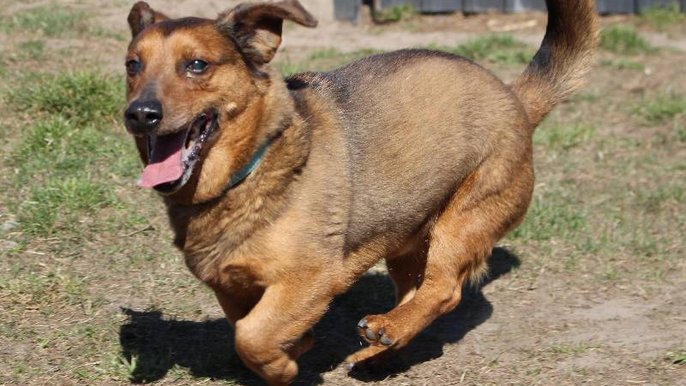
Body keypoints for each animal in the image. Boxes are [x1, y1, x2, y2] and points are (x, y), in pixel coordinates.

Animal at [126, 1, 600, 384]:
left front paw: (283, 366)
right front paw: (297, 345)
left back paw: (388, 330)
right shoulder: (229, 285)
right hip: (406, 240)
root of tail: (514, 98)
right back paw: (382, 346)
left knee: (444, 290)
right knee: (416, 292)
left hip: (464, 221)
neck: (254, 166)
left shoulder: (311, 277)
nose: (140, 113)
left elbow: (252, 336)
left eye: (197, 65)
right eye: (133, 65)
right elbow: (248, 326)